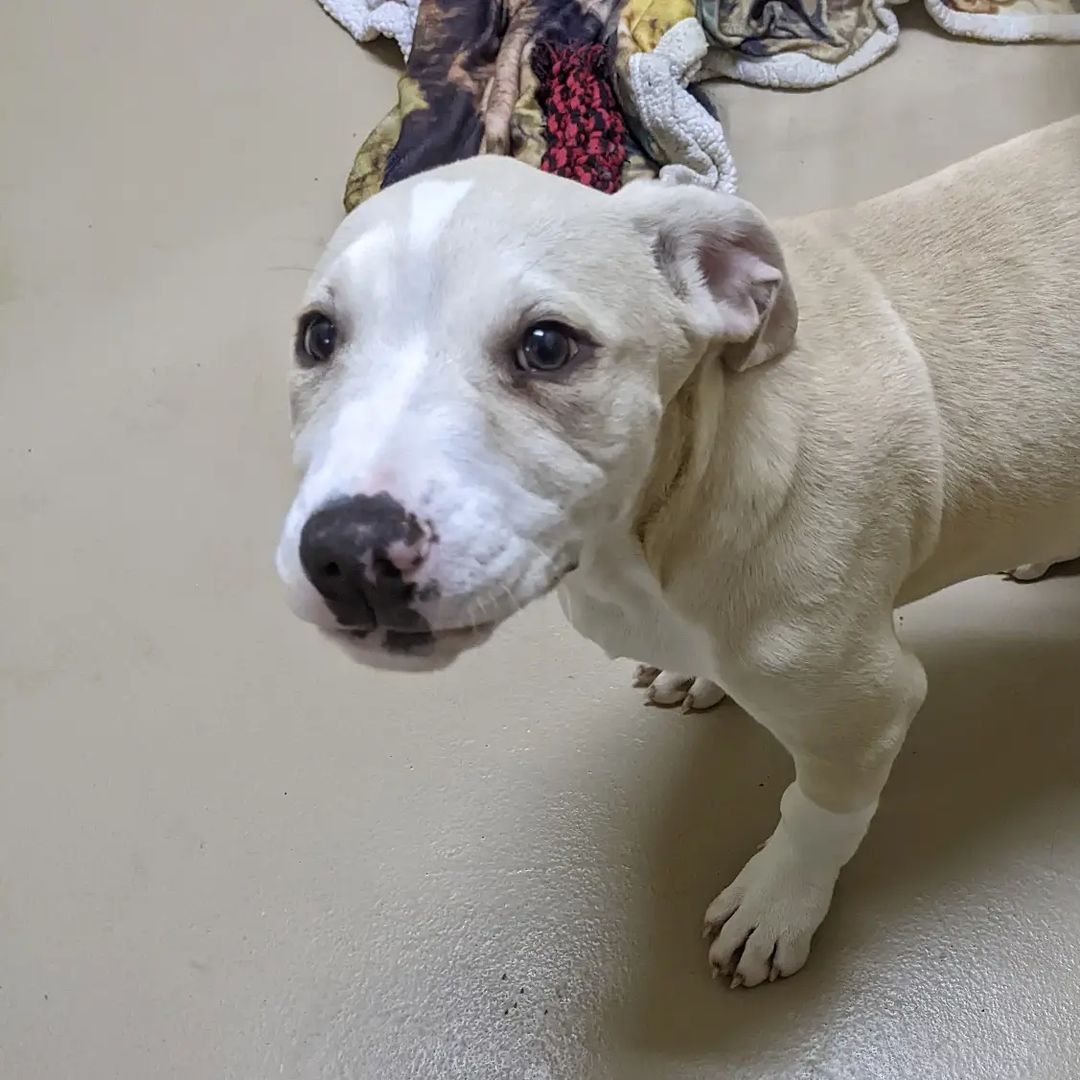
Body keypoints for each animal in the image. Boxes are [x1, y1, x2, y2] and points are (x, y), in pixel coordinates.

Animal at [276, 116, 1080, 989]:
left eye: (547, 347)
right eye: (317, 337)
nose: (346, 552)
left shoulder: (865, 705)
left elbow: (818, 813)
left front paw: (778, 901)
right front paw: (695, 674)